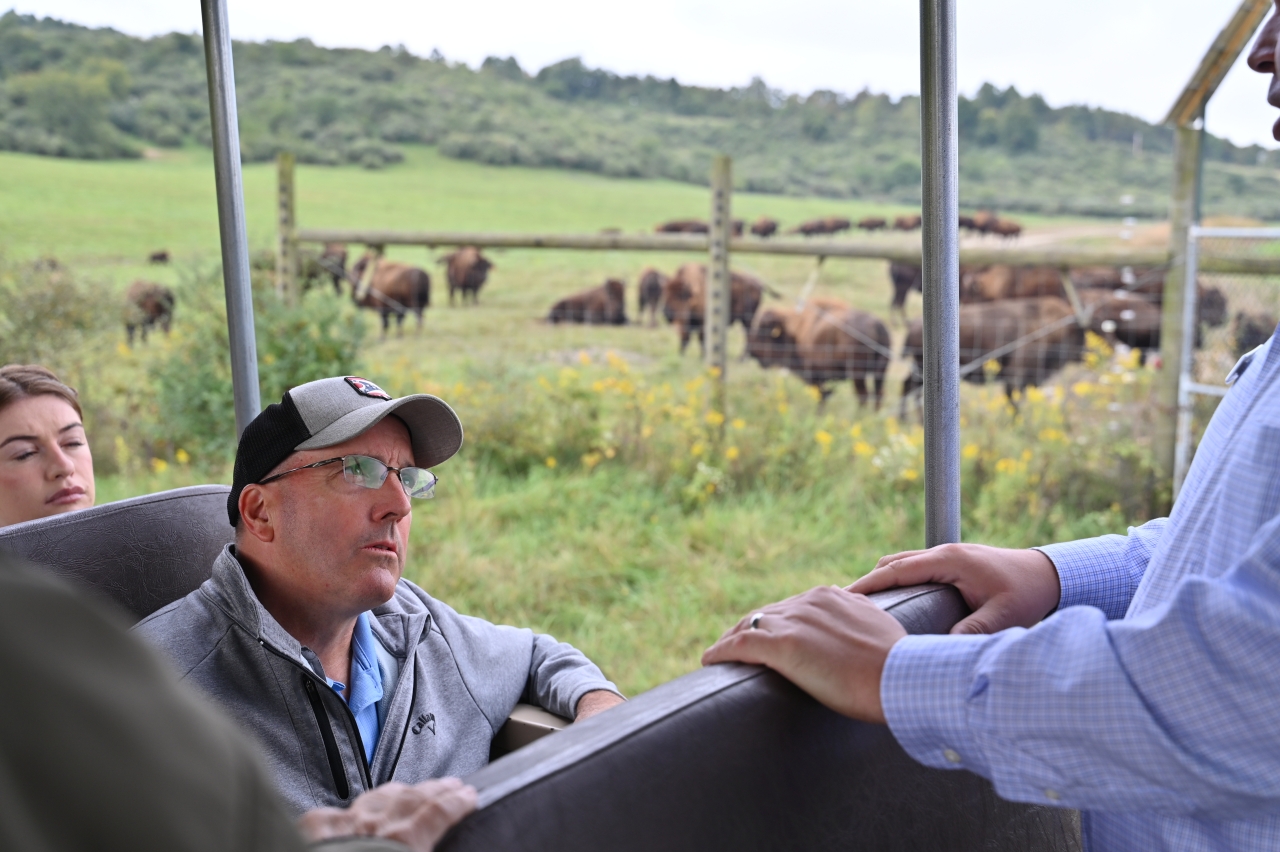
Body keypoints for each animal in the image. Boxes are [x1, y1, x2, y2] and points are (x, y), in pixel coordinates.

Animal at [747, 296, 890, 406]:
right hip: (880, 372)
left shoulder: (815, 374)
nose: (751, 351)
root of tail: (878, 326)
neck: (794, 331)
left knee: (863, 395)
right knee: (878, 393)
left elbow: (821, 397)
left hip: (858, 374)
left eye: (762, 333)